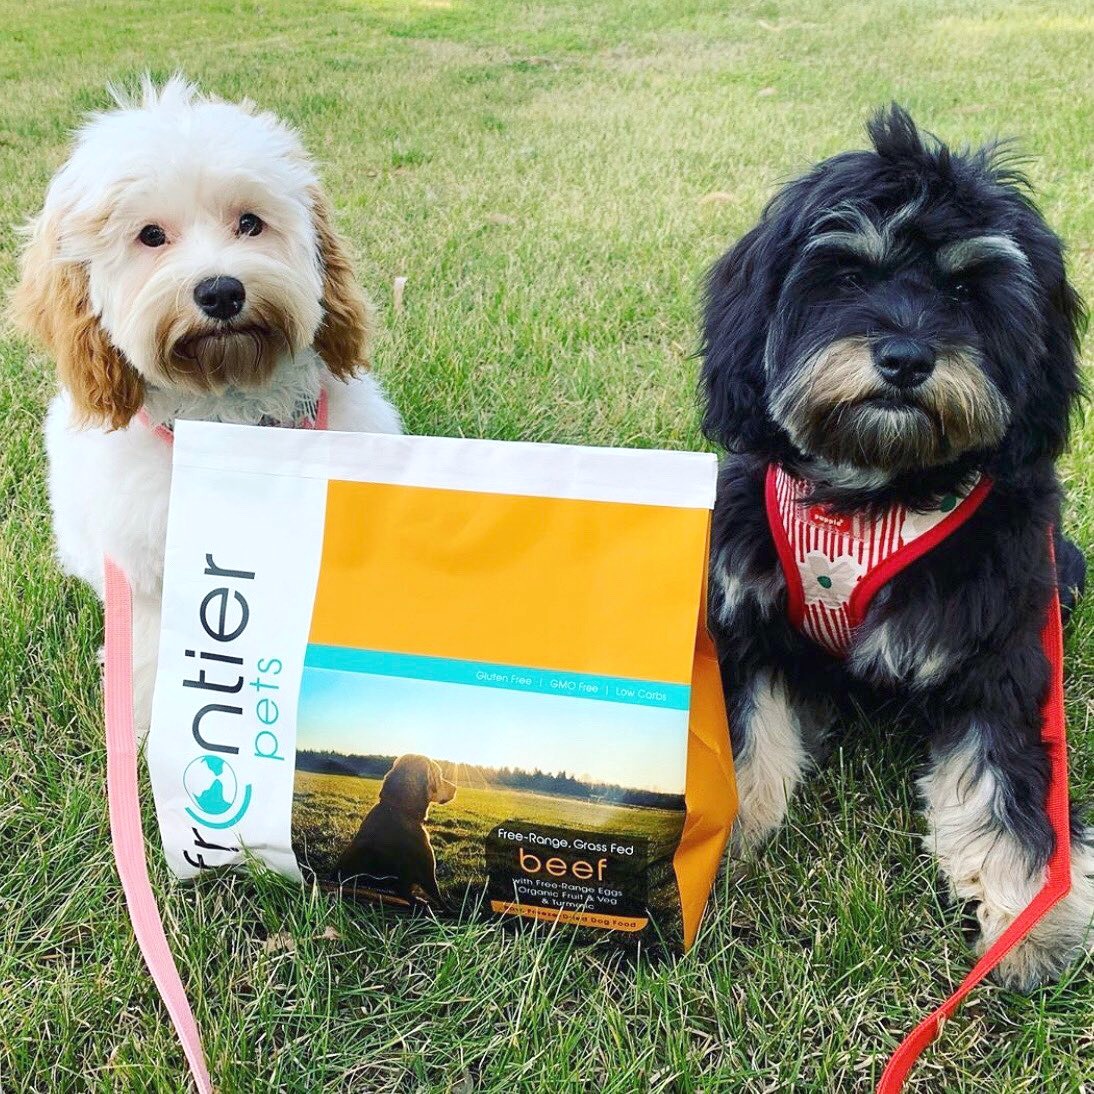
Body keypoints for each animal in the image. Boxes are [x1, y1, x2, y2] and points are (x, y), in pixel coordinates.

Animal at [14, 74, 402, 726]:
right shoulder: (150, 574)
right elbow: (151, 656)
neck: (232, 411)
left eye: (249, 222)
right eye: (150, 235)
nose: (221, 291)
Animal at [704, 106, 1089, 988]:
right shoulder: (744, 618)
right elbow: (741, 737)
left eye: (965, 291)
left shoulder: (999, 655)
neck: (870, 494)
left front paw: (1029, 908)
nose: (906, 358)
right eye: (846, 276)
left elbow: (1005, 779)